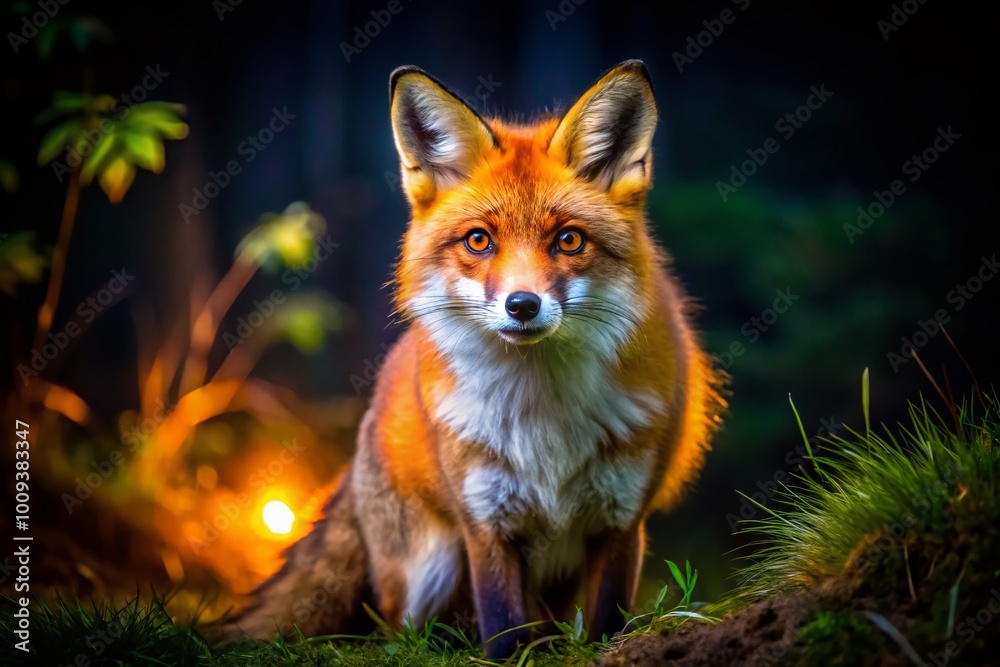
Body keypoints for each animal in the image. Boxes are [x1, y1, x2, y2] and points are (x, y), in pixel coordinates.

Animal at [227, 60, 725, 658]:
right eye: (479, 241)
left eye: (569, 240)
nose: (522, 305)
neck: (542, 418)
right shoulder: (484, 521)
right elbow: (504, 633)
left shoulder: (623, 519)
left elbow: (605, 625)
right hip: (428, 568)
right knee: (406, 635)